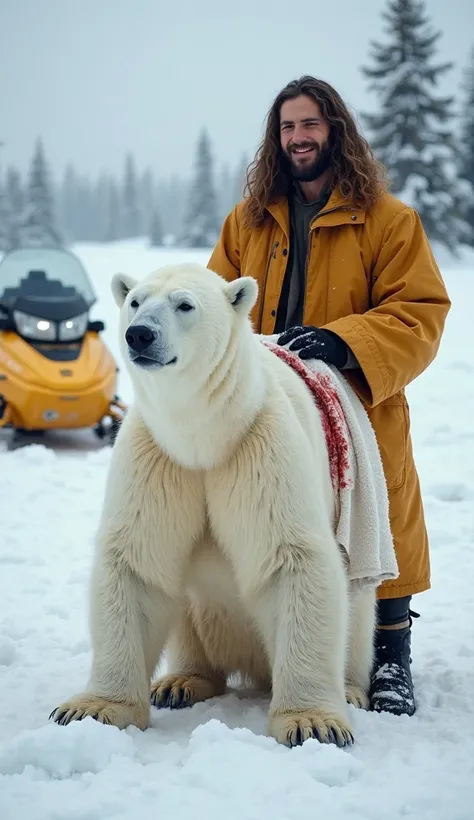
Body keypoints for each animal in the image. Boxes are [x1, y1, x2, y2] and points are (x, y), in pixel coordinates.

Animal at [49, 262, 374, 748]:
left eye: (184, 304)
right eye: (135, 301)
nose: (139, 335)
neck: (205, 434)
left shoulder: (259, 445)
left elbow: (293, 559)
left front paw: (313, 722)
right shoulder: (160, 457)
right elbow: (137, 562)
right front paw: (91, 709)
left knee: (355, 613)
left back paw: (351, 689)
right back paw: (180, 682)